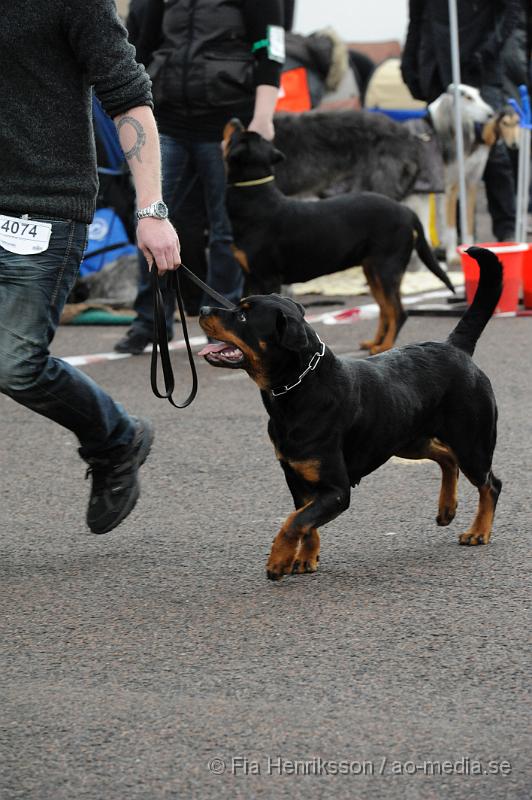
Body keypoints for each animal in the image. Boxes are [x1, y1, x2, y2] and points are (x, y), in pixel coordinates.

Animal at [198, 247, 502, 580]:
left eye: (242, 315)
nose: (202, 308)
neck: (297, 387)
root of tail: (455, 347)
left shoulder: (337, 490)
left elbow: (294, 521)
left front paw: (278, 560)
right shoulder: (297, 478)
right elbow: (305, 521)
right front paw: (305, 558)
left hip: (471, 442)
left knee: (489, 483)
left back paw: (478, 531)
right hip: (406, 439)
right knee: (447, 458)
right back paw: (447, 509)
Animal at [222, 118, 456, 354]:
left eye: (237, 136)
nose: (235, 120)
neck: (255, 197)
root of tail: (406, 211)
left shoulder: (268, 277)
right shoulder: (251, 277)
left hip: (387, 267)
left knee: (397, 311)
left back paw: (384, 346)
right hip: (372, 270)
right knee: (384, 309)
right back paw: (375, 342)